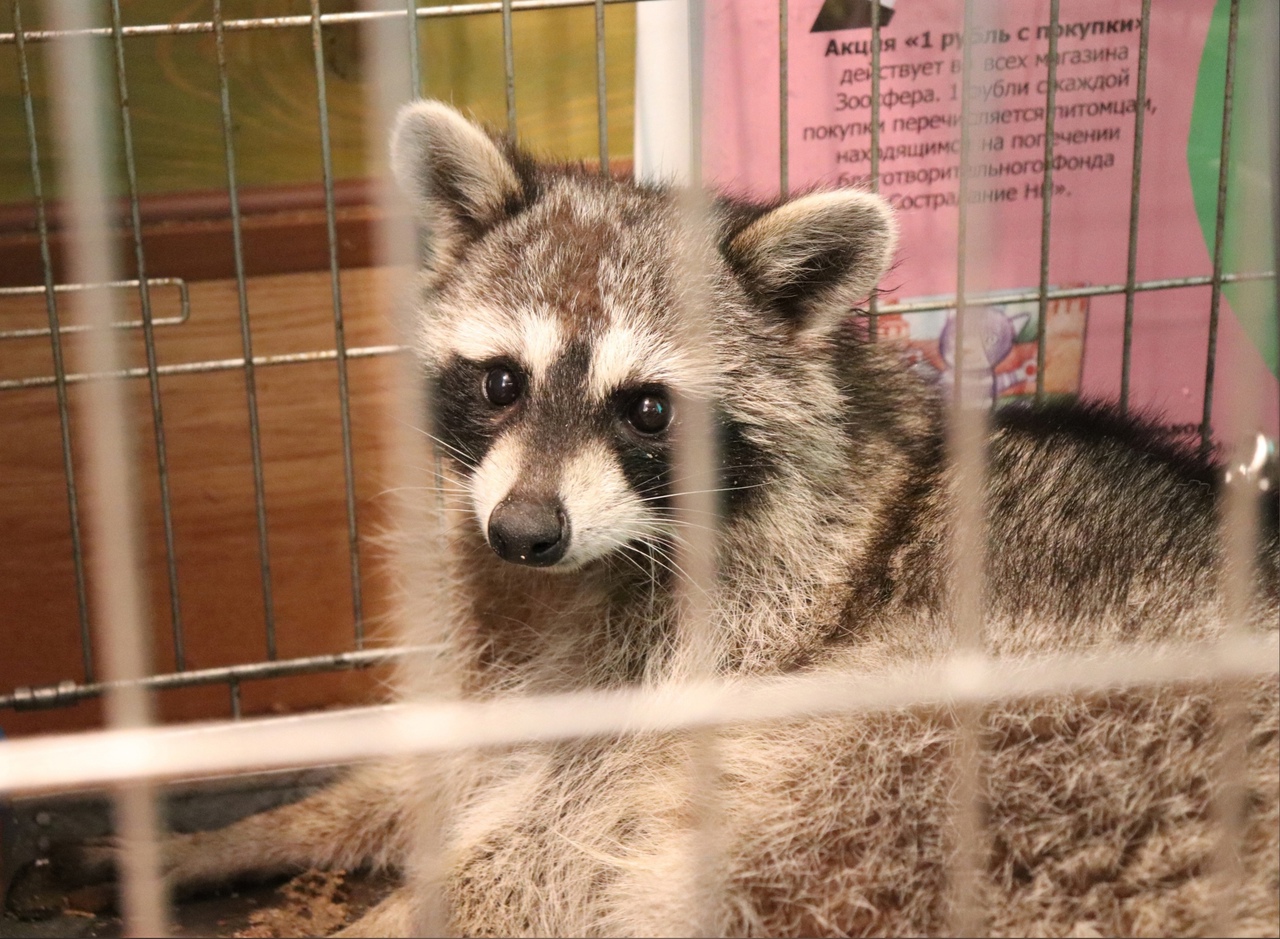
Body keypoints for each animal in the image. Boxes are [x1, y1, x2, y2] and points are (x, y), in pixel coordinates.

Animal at [55, 102, 1280, 939]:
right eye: (499, 382)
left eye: (647, 410)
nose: (524, 531)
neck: (579, 576)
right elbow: (446, 765)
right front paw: (233, 833)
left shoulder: (724, 648)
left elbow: (545, 855)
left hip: (969, 764)